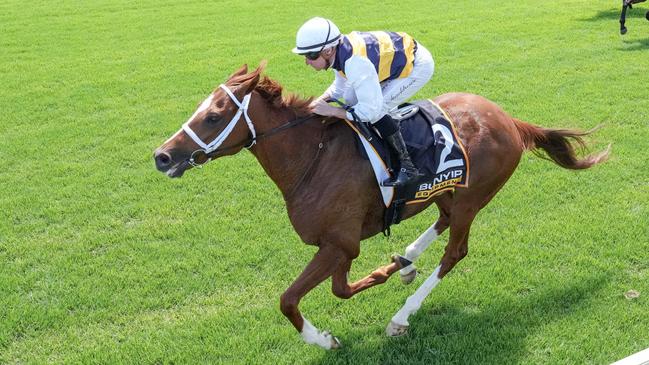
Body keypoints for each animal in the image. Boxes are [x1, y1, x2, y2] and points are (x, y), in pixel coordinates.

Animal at [152, 62, 608, 350]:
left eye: (214, 116)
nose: (162, 156)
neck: (311, 158)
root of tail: (510, 121)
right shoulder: (340, 245)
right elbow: (340, 288)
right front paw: (388, 271)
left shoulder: (339, 244)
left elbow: (291, 299)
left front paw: (323, 340)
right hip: (446, 192)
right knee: (442, 222)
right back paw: (405, 259)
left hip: (473, 197)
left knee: (455, 251)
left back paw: (401, 316)